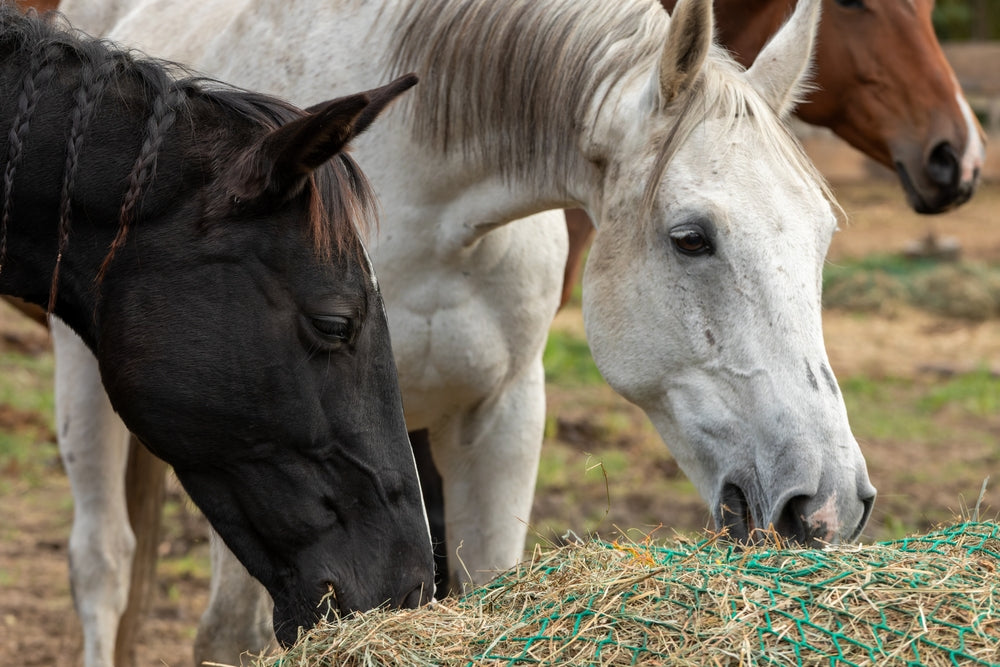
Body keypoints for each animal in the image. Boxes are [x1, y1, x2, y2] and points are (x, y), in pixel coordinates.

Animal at [54, 0, 876, 663]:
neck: (425, 194)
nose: (828, 502)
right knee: (103, 563)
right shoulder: (252, 442)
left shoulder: (503, 410)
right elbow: (232, 632)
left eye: (822, 237)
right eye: (691, 238)